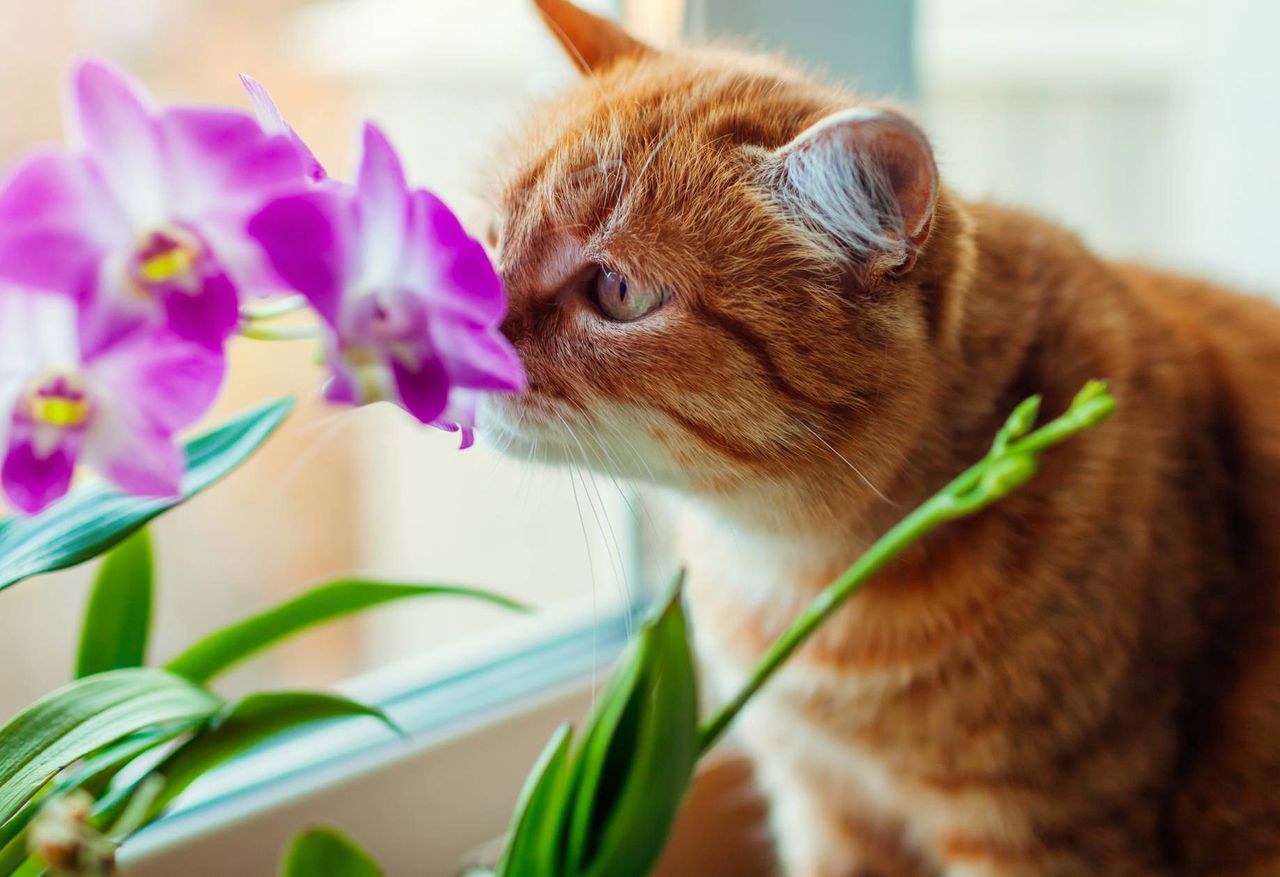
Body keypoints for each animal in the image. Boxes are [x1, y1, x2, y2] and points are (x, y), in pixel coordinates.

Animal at [483, 3, 1280, 870]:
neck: (794, 564)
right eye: (491, 236)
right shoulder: (821, 804)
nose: (467, 323)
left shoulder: (1043, 831)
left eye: (617, 291)